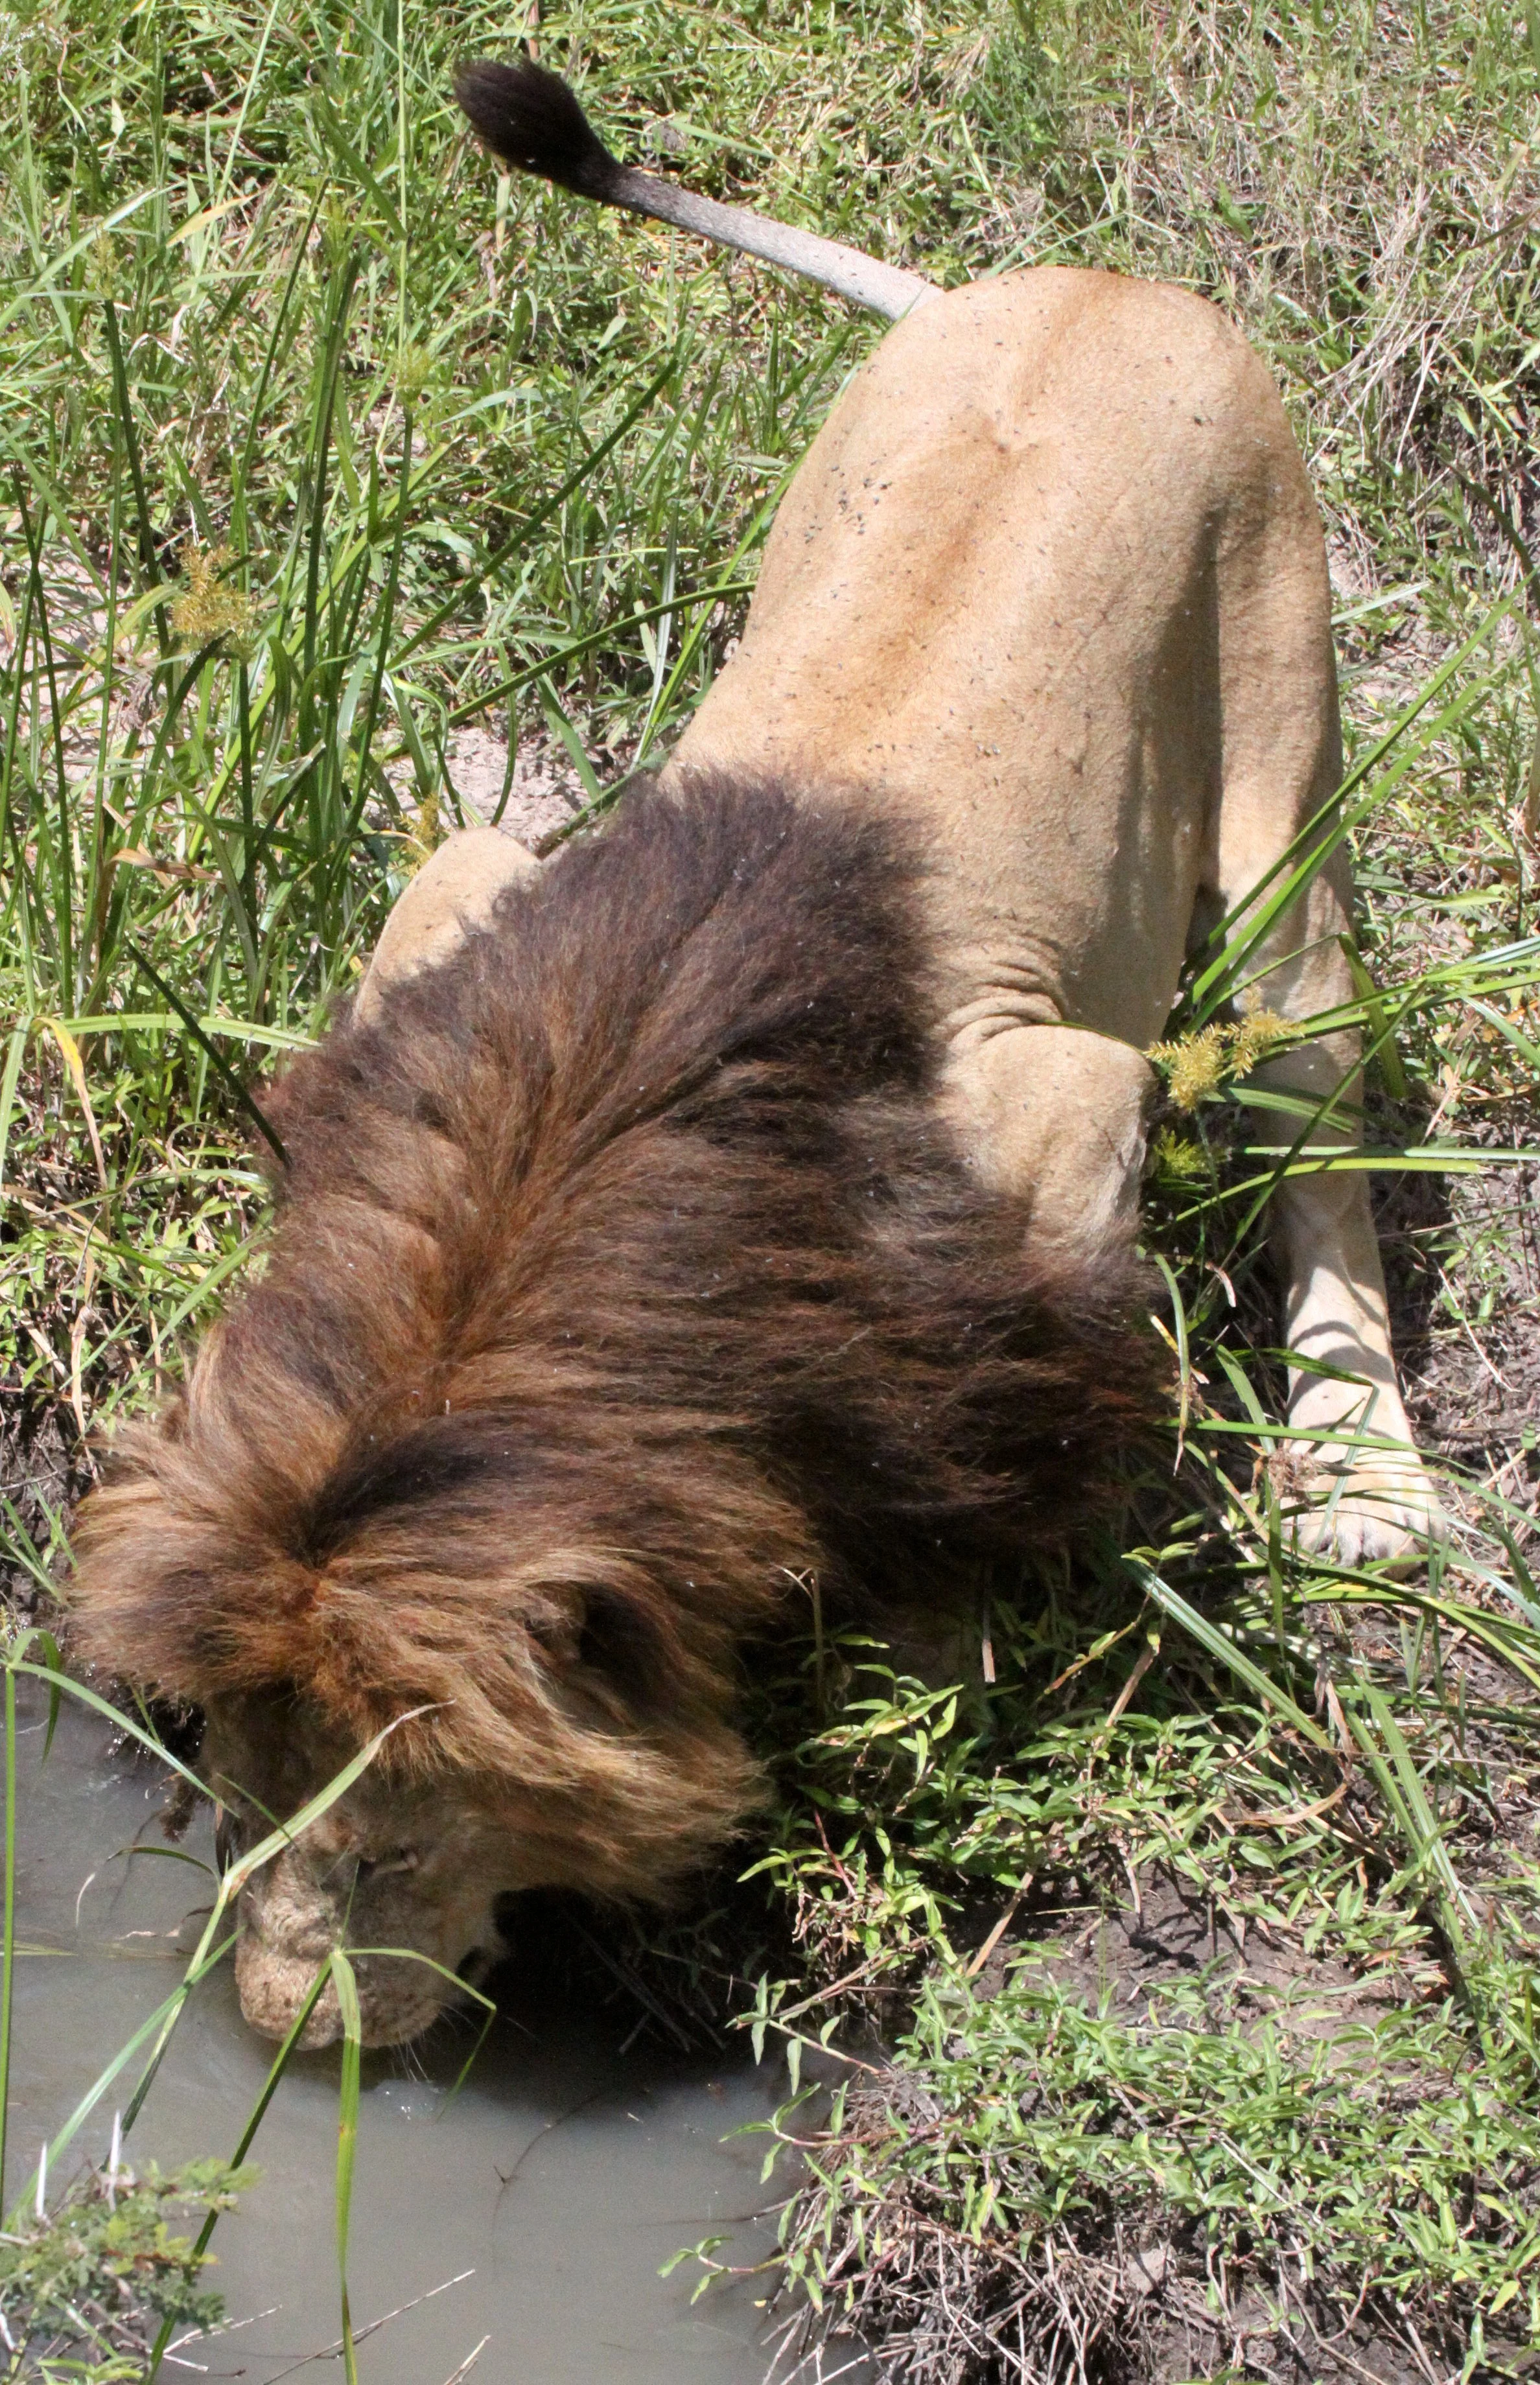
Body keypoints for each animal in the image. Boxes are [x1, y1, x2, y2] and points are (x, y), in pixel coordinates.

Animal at [66, 60, 1440, 2051]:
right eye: (243, 1798)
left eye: (396, 1848)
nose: (289, 2032)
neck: (573, 1159)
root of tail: (1096, 275)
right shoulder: (470, 881)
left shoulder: (1058, 1099)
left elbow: (1000, 1436)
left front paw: (923, 1679)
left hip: (1282, 772)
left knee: (1327, 1137)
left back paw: (1366, 1471)